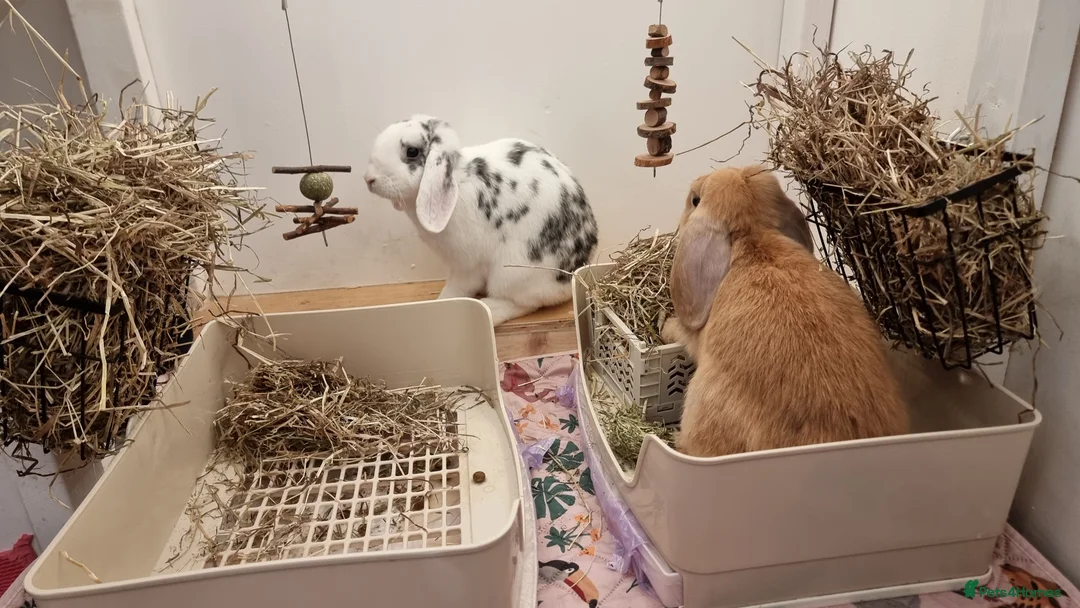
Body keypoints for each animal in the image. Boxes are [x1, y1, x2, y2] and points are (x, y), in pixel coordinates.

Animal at [363, 115, 598, 326]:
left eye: (411, 151)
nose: (369, 179)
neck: (458, 179)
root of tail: (573, 273)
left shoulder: (466, 266)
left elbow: (458, 288)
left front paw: (443, 301)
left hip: (512, 272)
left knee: (524, 303)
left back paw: (490, 309)